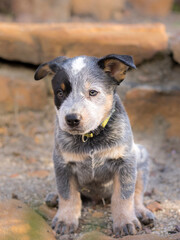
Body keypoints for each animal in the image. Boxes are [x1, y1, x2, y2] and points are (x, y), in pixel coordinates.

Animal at [34, 54, 154, 236]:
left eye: (93, 92)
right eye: (60, 93)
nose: (72, 119)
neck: (90, 140)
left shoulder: (125, 161)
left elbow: (124, 196)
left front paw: (125, 222)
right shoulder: (63, 164)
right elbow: (67, 194)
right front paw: (65, 219)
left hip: (142, 157)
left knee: (137, 194)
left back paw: (142, 212)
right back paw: (54, 197)